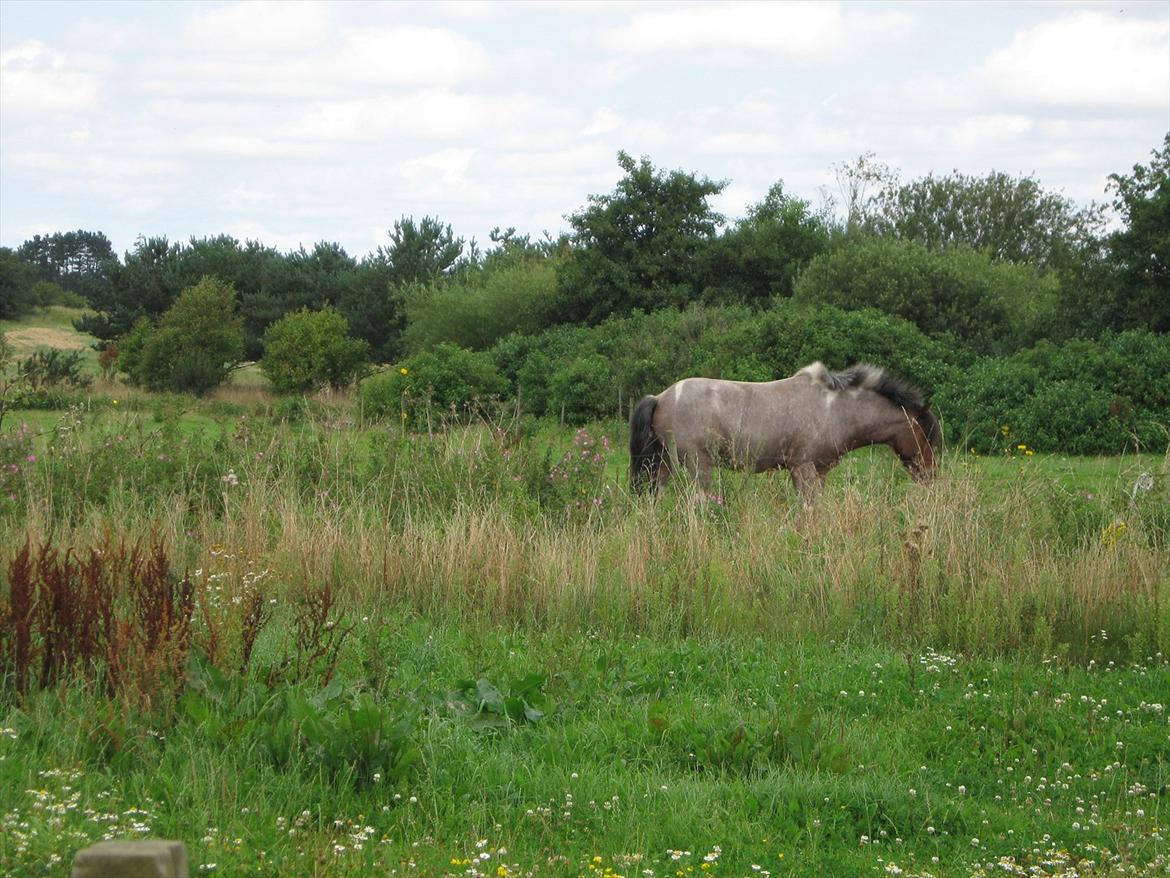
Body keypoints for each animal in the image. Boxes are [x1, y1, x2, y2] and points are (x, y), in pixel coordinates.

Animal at [631, 362, 940, 498]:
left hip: (665, 464)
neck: (833, 409)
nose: (931, 476)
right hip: (697, 466)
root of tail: (660, 397)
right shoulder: (803, 468)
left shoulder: (817, 472)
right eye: (927, 435)